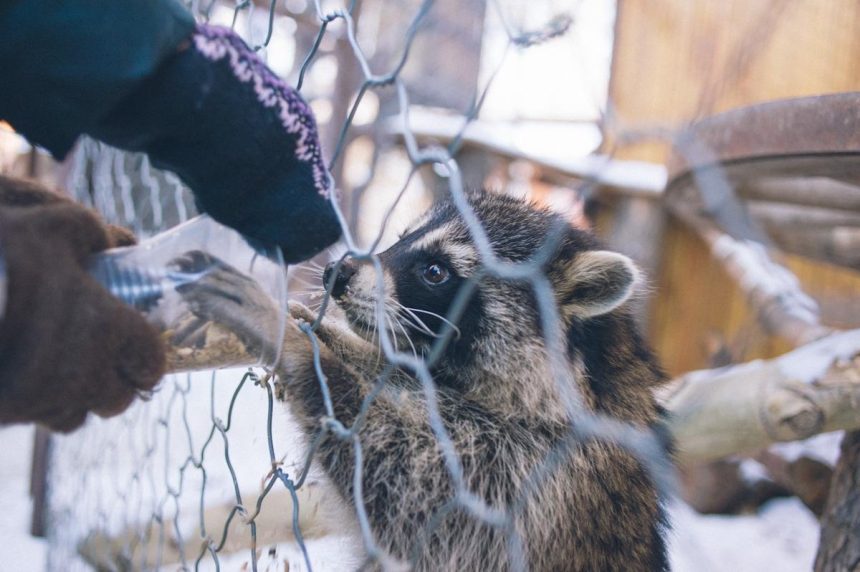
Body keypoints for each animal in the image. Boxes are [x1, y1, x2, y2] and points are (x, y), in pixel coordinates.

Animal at [176, 192, 672, 572]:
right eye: (401, 240)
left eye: (435, 271)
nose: (336, 273)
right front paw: (317, 330)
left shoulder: (543, 480)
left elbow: (409, 491)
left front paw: (294, 345)